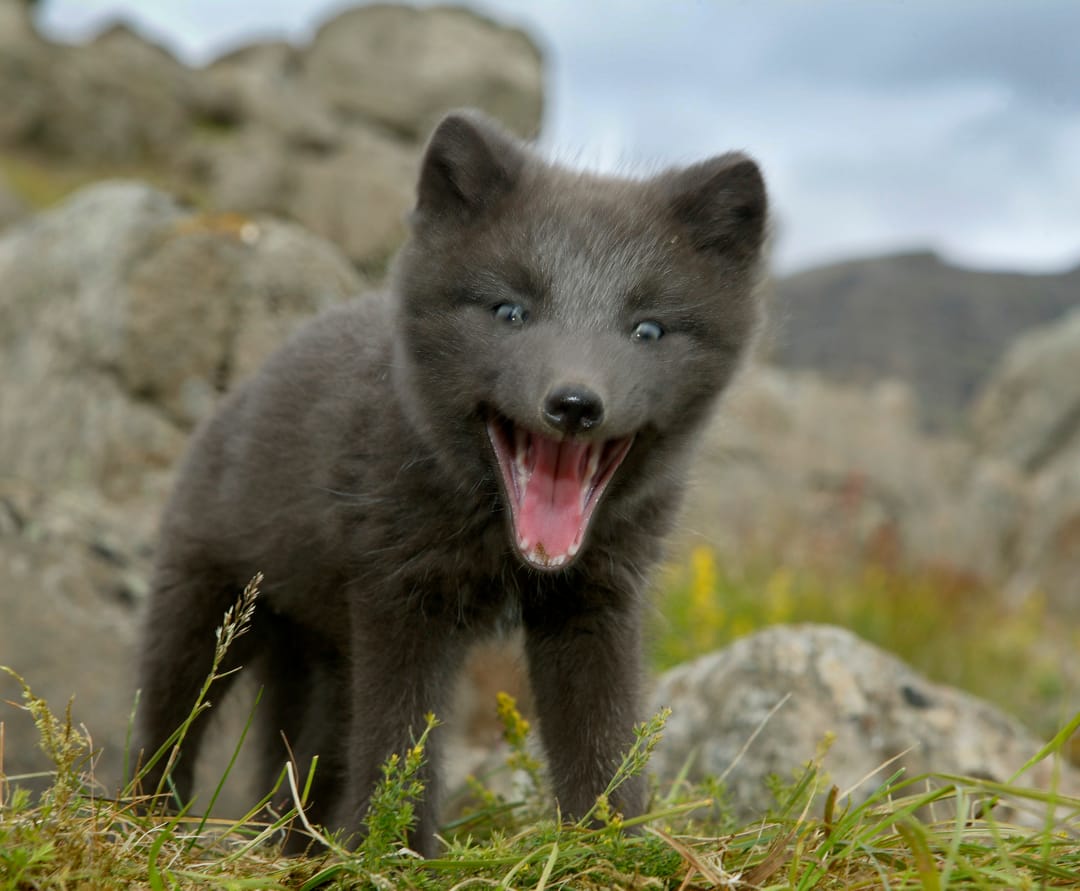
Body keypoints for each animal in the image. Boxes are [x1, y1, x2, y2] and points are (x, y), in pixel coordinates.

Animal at [135, 109, 768, 855]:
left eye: (648, 329)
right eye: (510, 312)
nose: (575, 404)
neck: (502, 546)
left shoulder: (598, 599)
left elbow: (601, 742)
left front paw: (608, 847)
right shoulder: (399, 594)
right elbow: (400, 741)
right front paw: (389, 851)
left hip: (319, 654)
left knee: (296, 765)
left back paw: (293, 845)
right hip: (205, 607)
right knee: (167, 731)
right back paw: (146, 820)